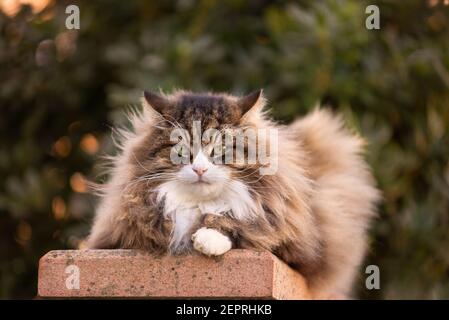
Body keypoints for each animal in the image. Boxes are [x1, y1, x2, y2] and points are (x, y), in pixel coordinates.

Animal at [86, 89, 378, 298]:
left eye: (219, 149)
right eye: (180, 151)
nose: (200, 168)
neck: (199, 206)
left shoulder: (297, 244)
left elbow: (243, 228)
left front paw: (207, 238)